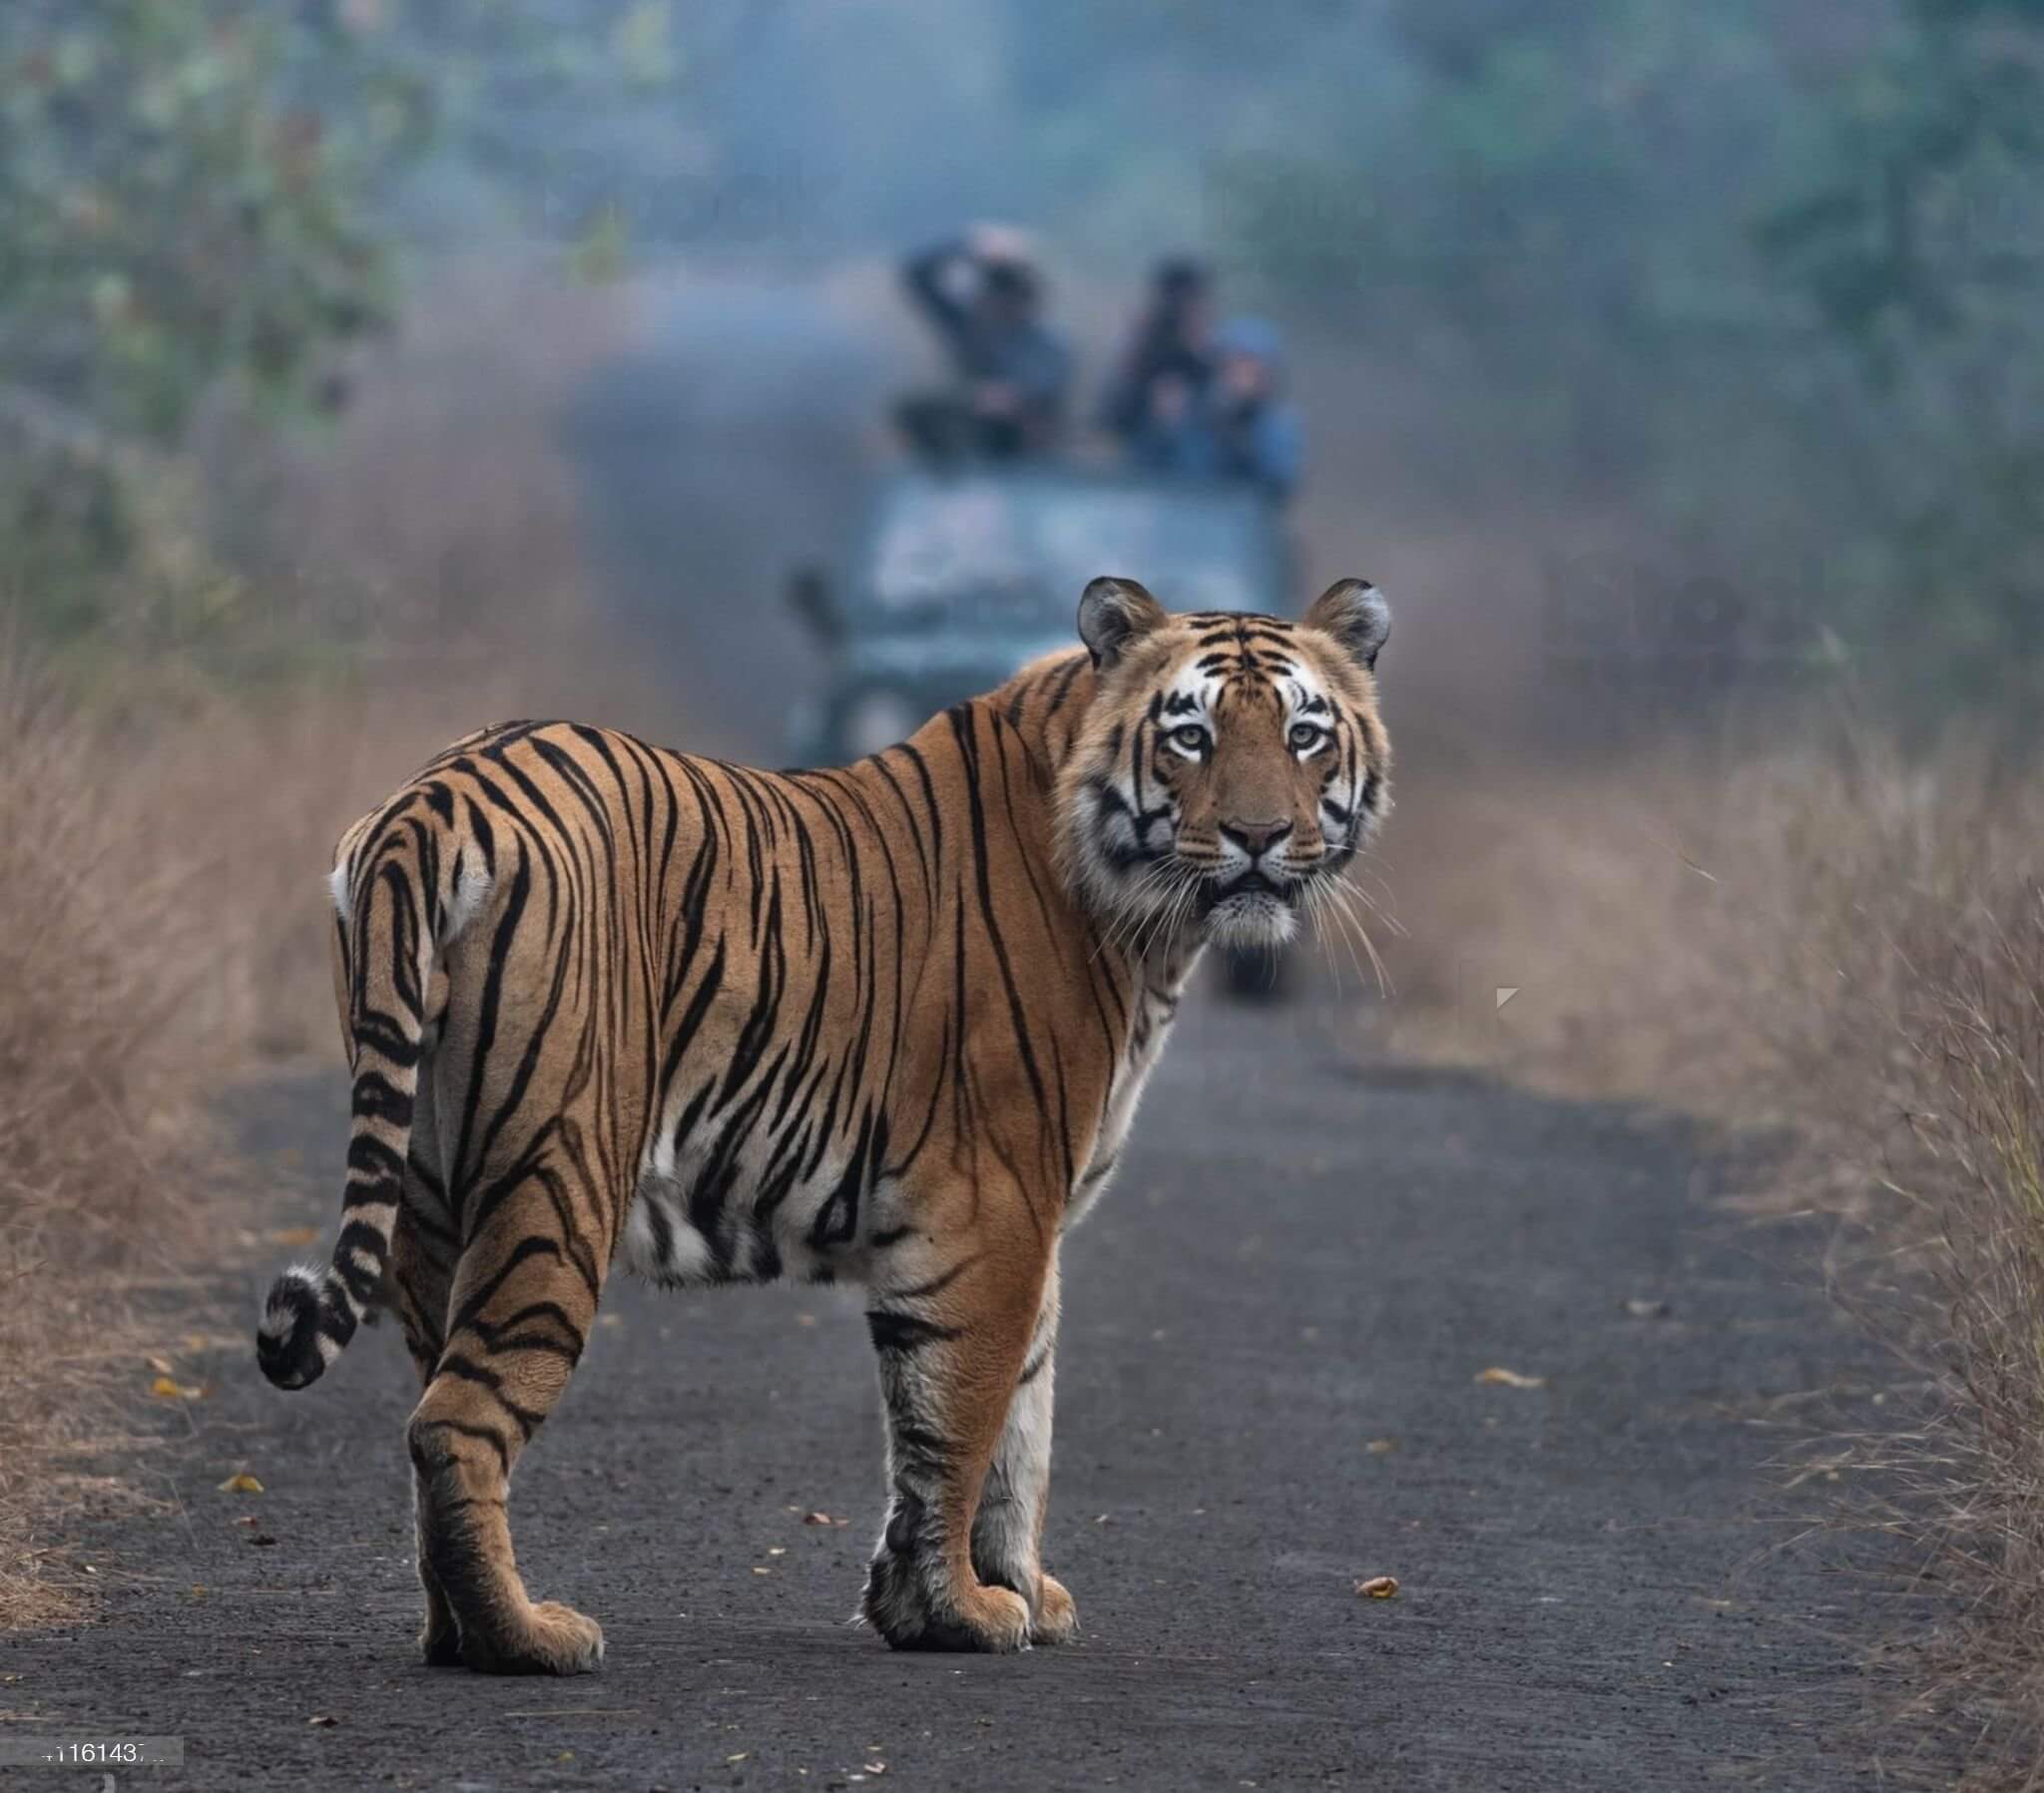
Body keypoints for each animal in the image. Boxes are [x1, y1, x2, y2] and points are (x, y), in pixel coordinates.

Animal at [256, 575, 1392, 1674]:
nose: (1258, 839)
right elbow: (965, 1420)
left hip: (429, 1197)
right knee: (454, 1422)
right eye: (1189, 734)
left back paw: (451, 1632)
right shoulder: (992, 1213)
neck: (1145, 927)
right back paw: (525, 1639)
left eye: (1303, 733)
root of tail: (435, 797)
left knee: (428, 1405)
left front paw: (991, 1593)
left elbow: (1015, 1419)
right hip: (556, 1178)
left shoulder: (1020, 1228)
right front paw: (964, 1612)